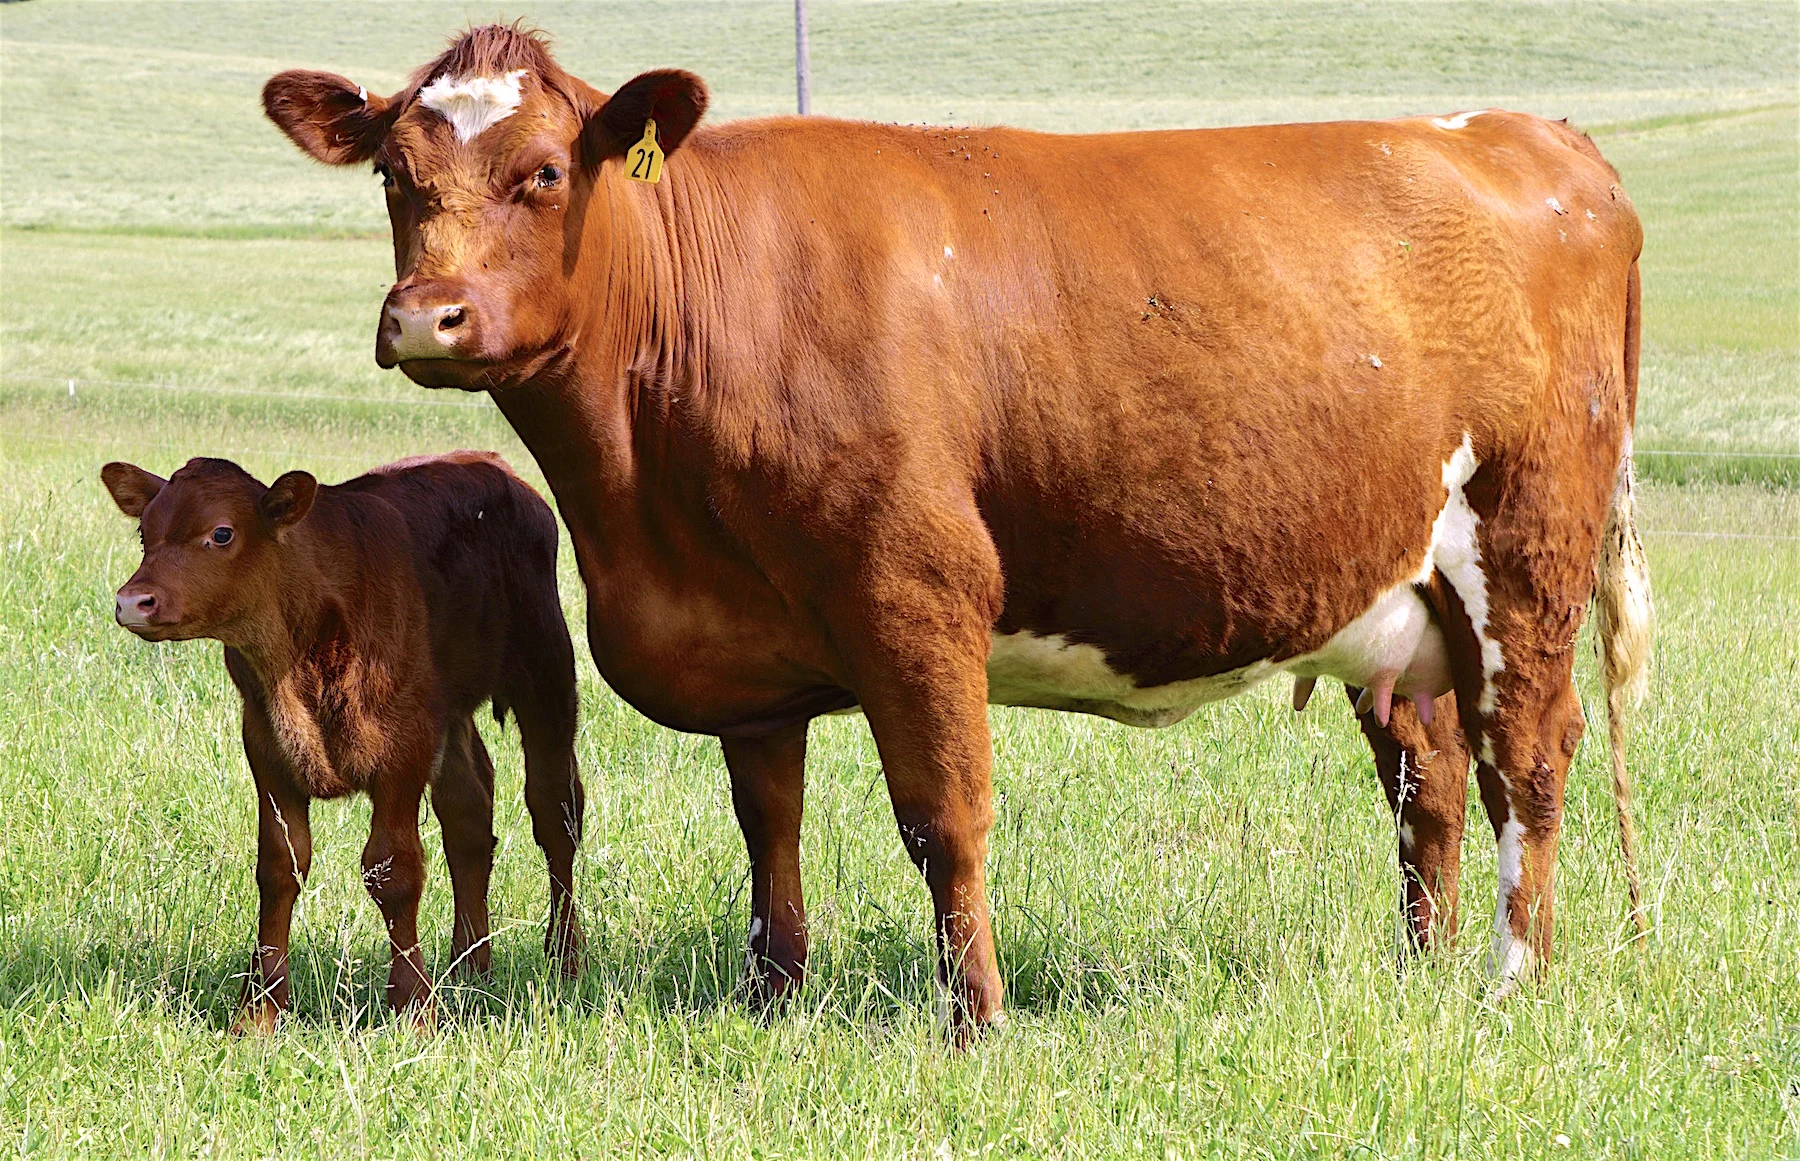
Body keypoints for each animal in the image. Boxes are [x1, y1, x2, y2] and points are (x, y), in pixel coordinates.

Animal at [102, 450, 585, 1032]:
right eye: (144, 532)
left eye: (221, 533)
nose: (133, 602)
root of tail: (490, 463)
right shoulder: (266, 746)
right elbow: (279, 868)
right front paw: (259, 1011)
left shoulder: (403, 744)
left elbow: (393, 870)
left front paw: (413, 1006)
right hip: (451, 710)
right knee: (468, 814)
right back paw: (470, 964)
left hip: (546, 672)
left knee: (556, 814)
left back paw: (564, 958)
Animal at [263, 24, 1652, 1038]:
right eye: (393, 174)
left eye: (544, 172)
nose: (426, 315)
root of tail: (1531, 135)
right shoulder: (748, 643)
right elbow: (768, 826)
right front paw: (774, 1002)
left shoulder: (914, 597)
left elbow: (945, 818)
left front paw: (973, 1020)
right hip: (1408, 600)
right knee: (1431, 776)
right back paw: (1427, 967)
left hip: (1527, 547)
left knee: (1529, 758)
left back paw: (1512, 982)